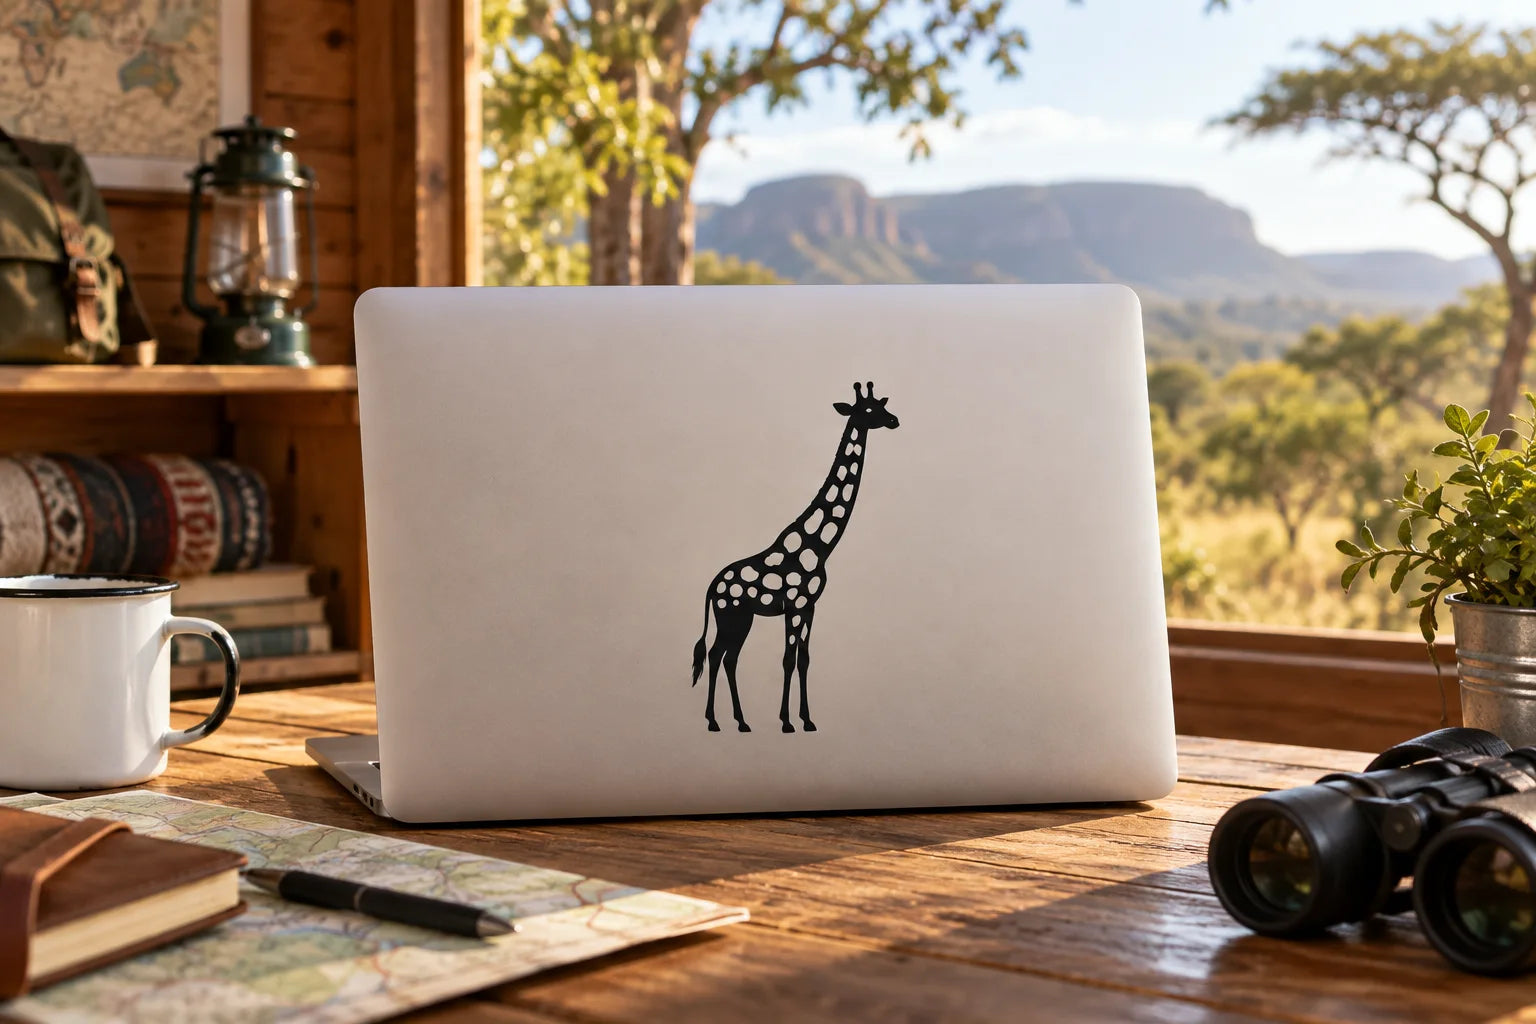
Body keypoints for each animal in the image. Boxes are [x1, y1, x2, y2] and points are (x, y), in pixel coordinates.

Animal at [690, 382, 900, 733]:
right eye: (870, 410)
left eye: (883, 405)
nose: (895, 420)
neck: (819, 546)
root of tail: (711, 588)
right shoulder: (795, 605)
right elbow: (787, 659)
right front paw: (787, 722)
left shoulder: (811, 606)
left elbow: (804, 659)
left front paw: (807, 720)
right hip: (732, 615)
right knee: (718, 655)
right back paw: (715, 722)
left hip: (740, 618)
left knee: (727, 657)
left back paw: (740, 722)